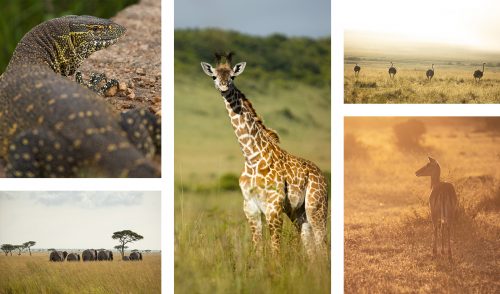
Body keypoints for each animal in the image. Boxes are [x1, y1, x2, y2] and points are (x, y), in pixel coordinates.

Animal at [201, 52, 330, 255]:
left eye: (232, 76)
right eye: (214, 76)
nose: (223, 86)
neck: (252, 157)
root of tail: (322, 176)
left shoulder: (274, 206)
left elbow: (275, 249)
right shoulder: (250, 206)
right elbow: (257, 247)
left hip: (316, 207)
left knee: (322, 244)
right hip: (297, 213)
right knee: (309, 246)